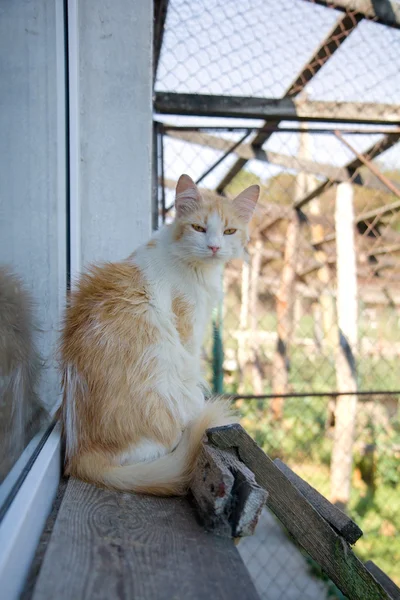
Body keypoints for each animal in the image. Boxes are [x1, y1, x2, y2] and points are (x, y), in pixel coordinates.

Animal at [59, 176, 260, 494]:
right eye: (198, 228)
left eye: (229, 231)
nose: (215, 247)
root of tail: (79, 455)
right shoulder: (189, 328)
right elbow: (193, 367)